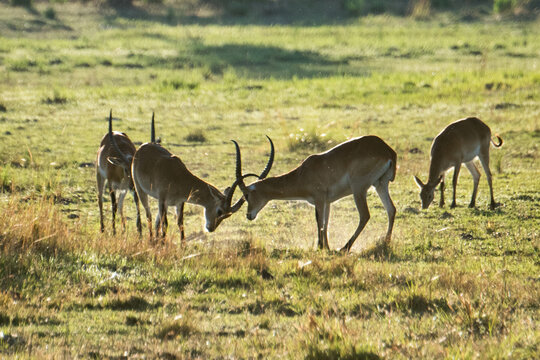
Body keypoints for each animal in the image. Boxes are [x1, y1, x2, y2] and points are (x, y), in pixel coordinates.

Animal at [109, 116, 247, 242]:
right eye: (219, 211)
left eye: (227, 215)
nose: (211, 228)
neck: (179, 177)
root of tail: (143, 147)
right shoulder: (163, 200)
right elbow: (165, 224)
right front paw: (163, 245)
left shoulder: (179, 202)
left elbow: (180, 224)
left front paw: (182, 246)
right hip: (141, 191)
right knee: (149, 215)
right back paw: (151, 239)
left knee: (156, 221)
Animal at [233, 136, 396, 253]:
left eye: (246, 195)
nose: (248, 215)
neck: (303, 174)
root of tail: (387, 150)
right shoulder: (327, 202)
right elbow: (325, 223)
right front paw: (326, 247)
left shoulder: (319, 199)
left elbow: (319, 221)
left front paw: (319, 247)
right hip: (380, 184)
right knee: (391, 210)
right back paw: (386, 242)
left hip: (359, 189)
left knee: (365, 215)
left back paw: (344, 248)